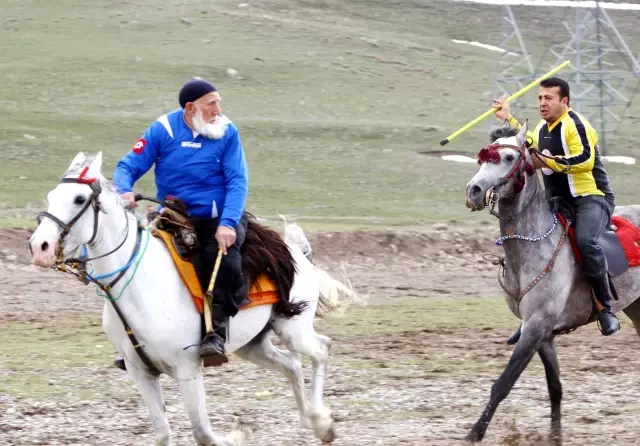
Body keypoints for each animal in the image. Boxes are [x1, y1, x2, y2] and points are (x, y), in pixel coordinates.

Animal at [30, 152, 362, 444]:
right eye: (51, 195)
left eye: (79, 199)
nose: (39, 247)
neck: (139, 286)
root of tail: (297, 254)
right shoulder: (141, 372)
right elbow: (163, 434)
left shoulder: (187, 369)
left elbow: (203, 433)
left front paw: (240, 434)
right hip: (253, 344)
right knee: (291, 364)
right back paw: (313, 422)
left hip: (293, 328)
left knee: (320, 350)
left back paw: (322, 422)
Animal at [462, 120, 640, 444]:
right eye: (483, 158)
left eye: (509, 157)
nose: (474, 191)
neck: (531, 247)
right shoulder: (543, 334)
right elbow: (555, 387)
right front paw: (555, 435)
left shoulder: (535, 327)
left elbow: (503, 383)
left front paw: (475, 431)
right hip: (637, 308)